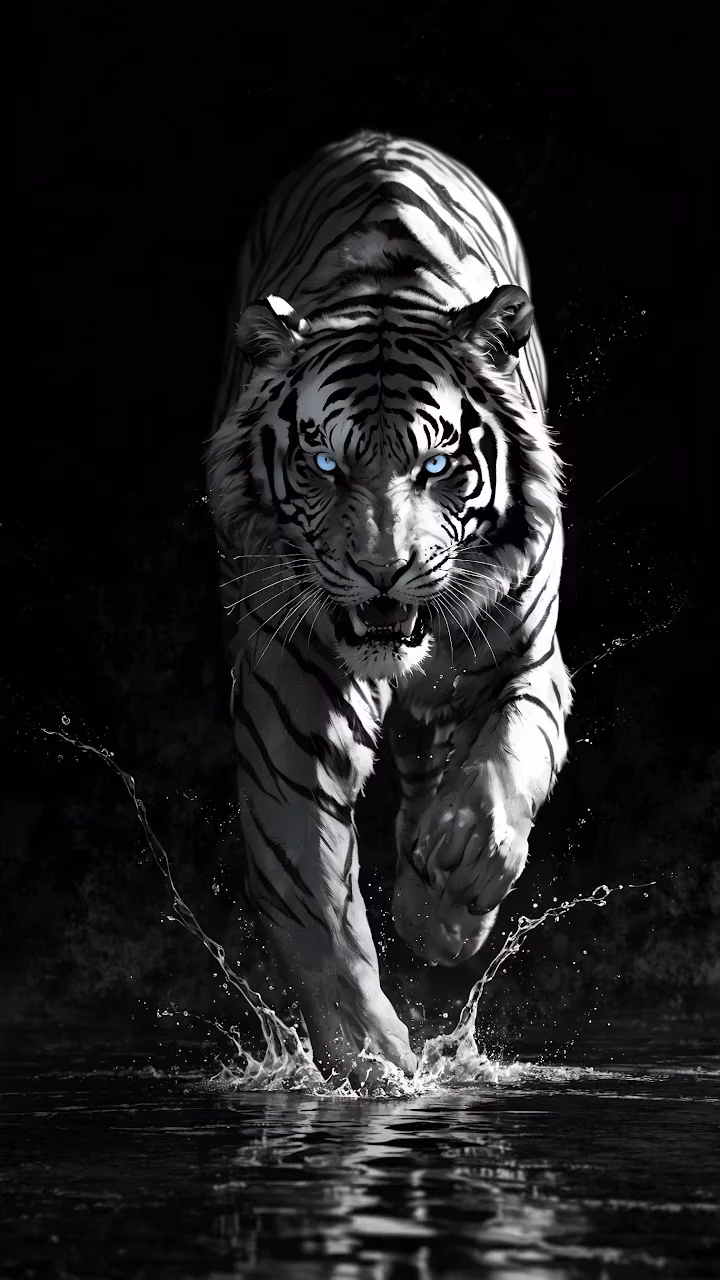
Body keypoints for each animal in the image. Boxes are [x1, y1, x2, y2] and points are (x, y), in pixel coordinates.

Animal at [206, 130, 572, 1081]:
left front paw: (452, 890)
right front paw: (373, 1065)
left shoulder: (527, 662)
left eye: (437, 463)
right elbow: (314, 903)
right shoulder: (288, 709)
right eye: (325, 464)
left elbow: (500, 770)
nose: (383, 572)